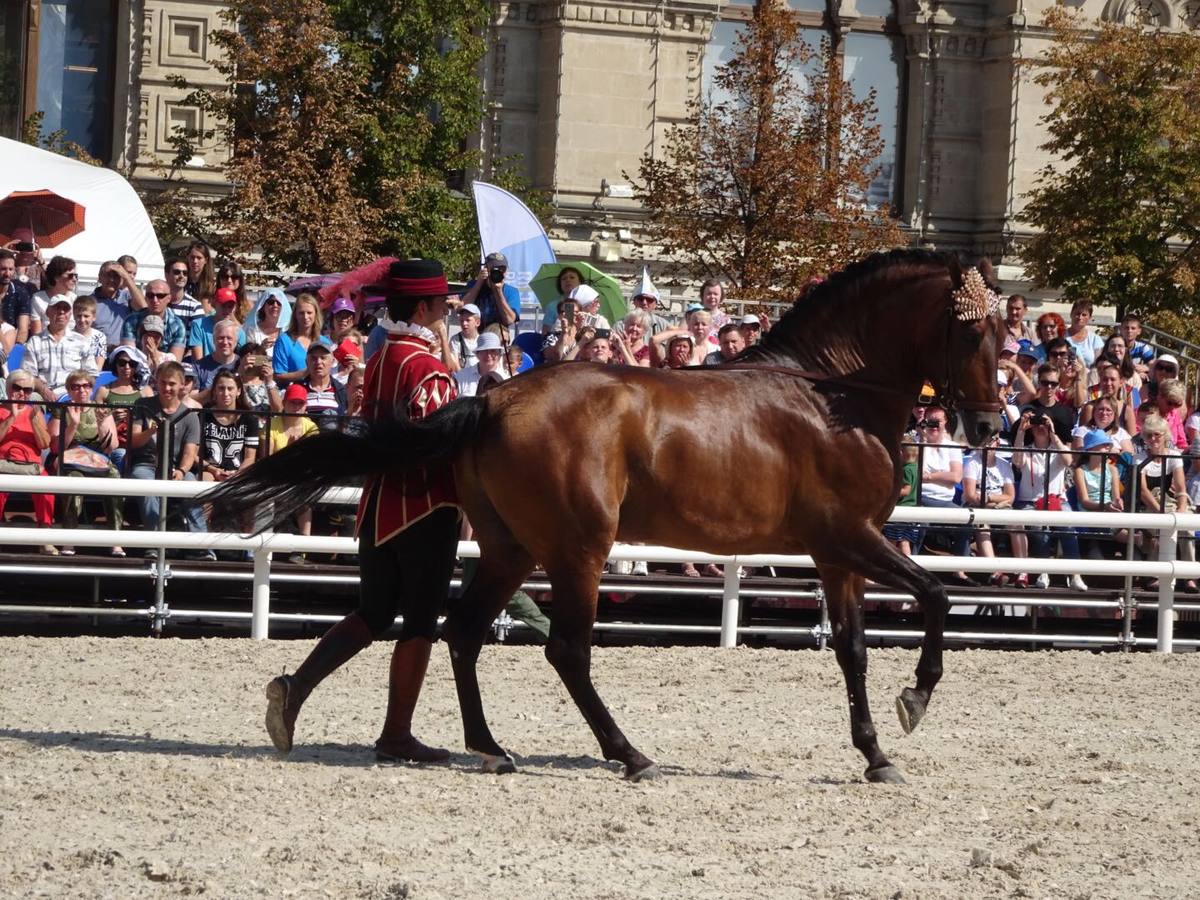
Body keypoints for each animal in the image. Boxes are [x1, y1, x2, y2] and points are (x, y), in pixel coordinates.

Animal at [204, 250, 1003, 787]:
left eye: (1001, 334)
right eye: (972, 335)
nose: (991, 425)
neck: (831, 396)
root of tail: (491, 399)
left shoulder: (838, 556)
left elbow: (853, 650)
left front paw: (875, 754)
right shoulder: (850, 538)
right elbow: (938, 594)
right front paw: (915, 698)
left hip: (513, 551)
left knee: (456, 631)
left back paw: (483, 746)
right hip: (578, 550)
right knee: (565, 650)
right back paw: (627, 753)